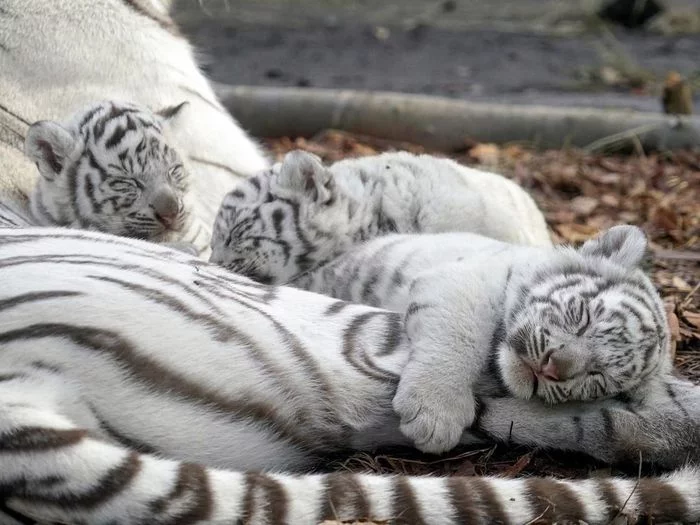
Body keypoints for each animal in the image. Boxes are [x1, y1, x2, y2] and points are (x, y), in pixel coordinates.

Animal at [1, 227, 700, 520]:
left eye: (598, 377)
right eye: (579, 315)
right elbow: (457, 328)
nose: (554, 367)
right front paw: (437, 410)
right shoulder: (460, 279)